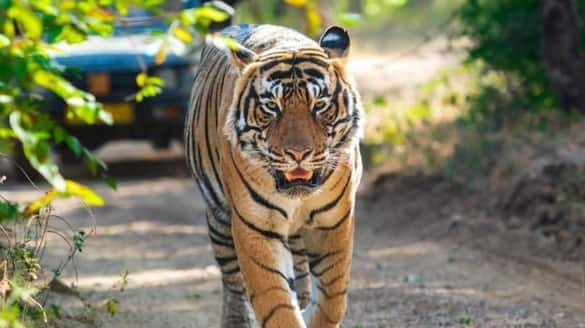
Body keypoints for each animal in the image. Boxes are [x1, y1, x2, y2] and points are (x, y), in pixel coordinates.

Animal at [185, 23, 362, 328]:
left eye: (319, 105)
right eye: (272, 107)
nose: (298, 153)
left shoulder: (333, 221)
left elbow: (332, 299)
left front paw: (311, 313)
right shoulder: (256, 226)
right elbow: (276, 303)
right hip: (219, 218)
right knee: (233, 281)